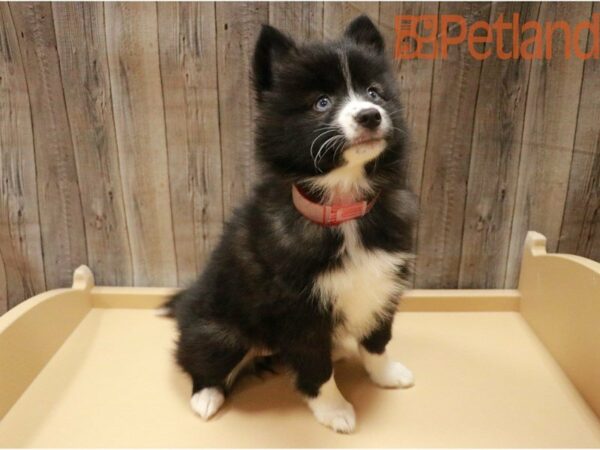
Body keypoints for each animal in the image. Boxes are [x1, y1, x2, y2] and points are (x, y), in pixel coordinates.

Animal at [164, 15, 418, 434]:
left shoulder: (383, 283)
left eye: (375, 93)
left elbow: (377, 338)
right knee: (199, 358)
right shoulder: (298, 310)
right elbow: (315, 365)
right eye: (321, 102)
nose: (369, 115)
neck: (343, 209)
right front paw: (334, 409)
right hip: (220, 331)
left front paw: (386, 373)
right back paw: (207, 395)